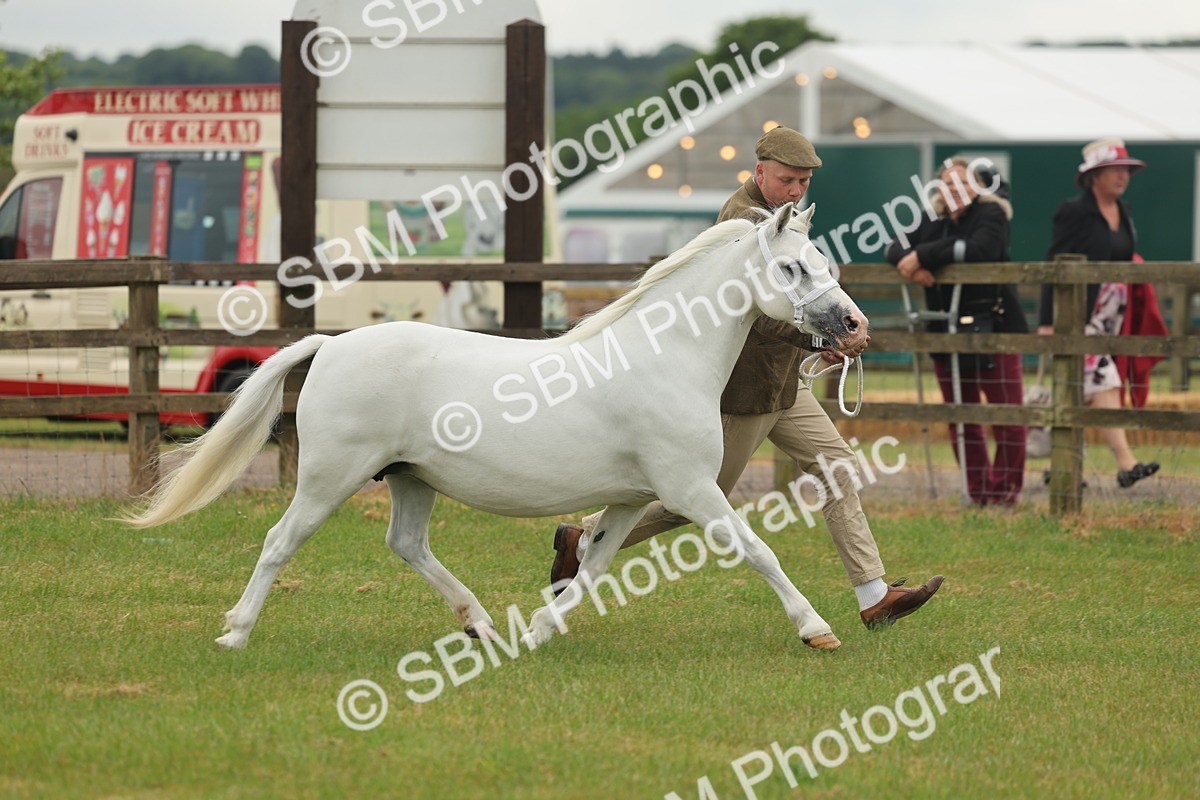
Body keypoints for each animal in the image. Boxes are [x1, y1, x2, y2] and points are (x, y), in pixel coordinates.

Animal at [125, 203, 869, 653]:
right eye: (793, 265)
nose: (853, 325)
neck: (664, 356)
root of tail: (330, 345)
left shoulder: (632, 500)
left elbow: (593, 564)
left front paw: (537, 630)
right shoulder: (691, 489)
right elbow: (758, 551)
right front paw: (817, 629)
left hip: (410, 479)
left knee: (407, 544)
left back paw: (480, 622)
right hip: (328, 479)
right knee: (281, 542)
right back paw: (235, 633)